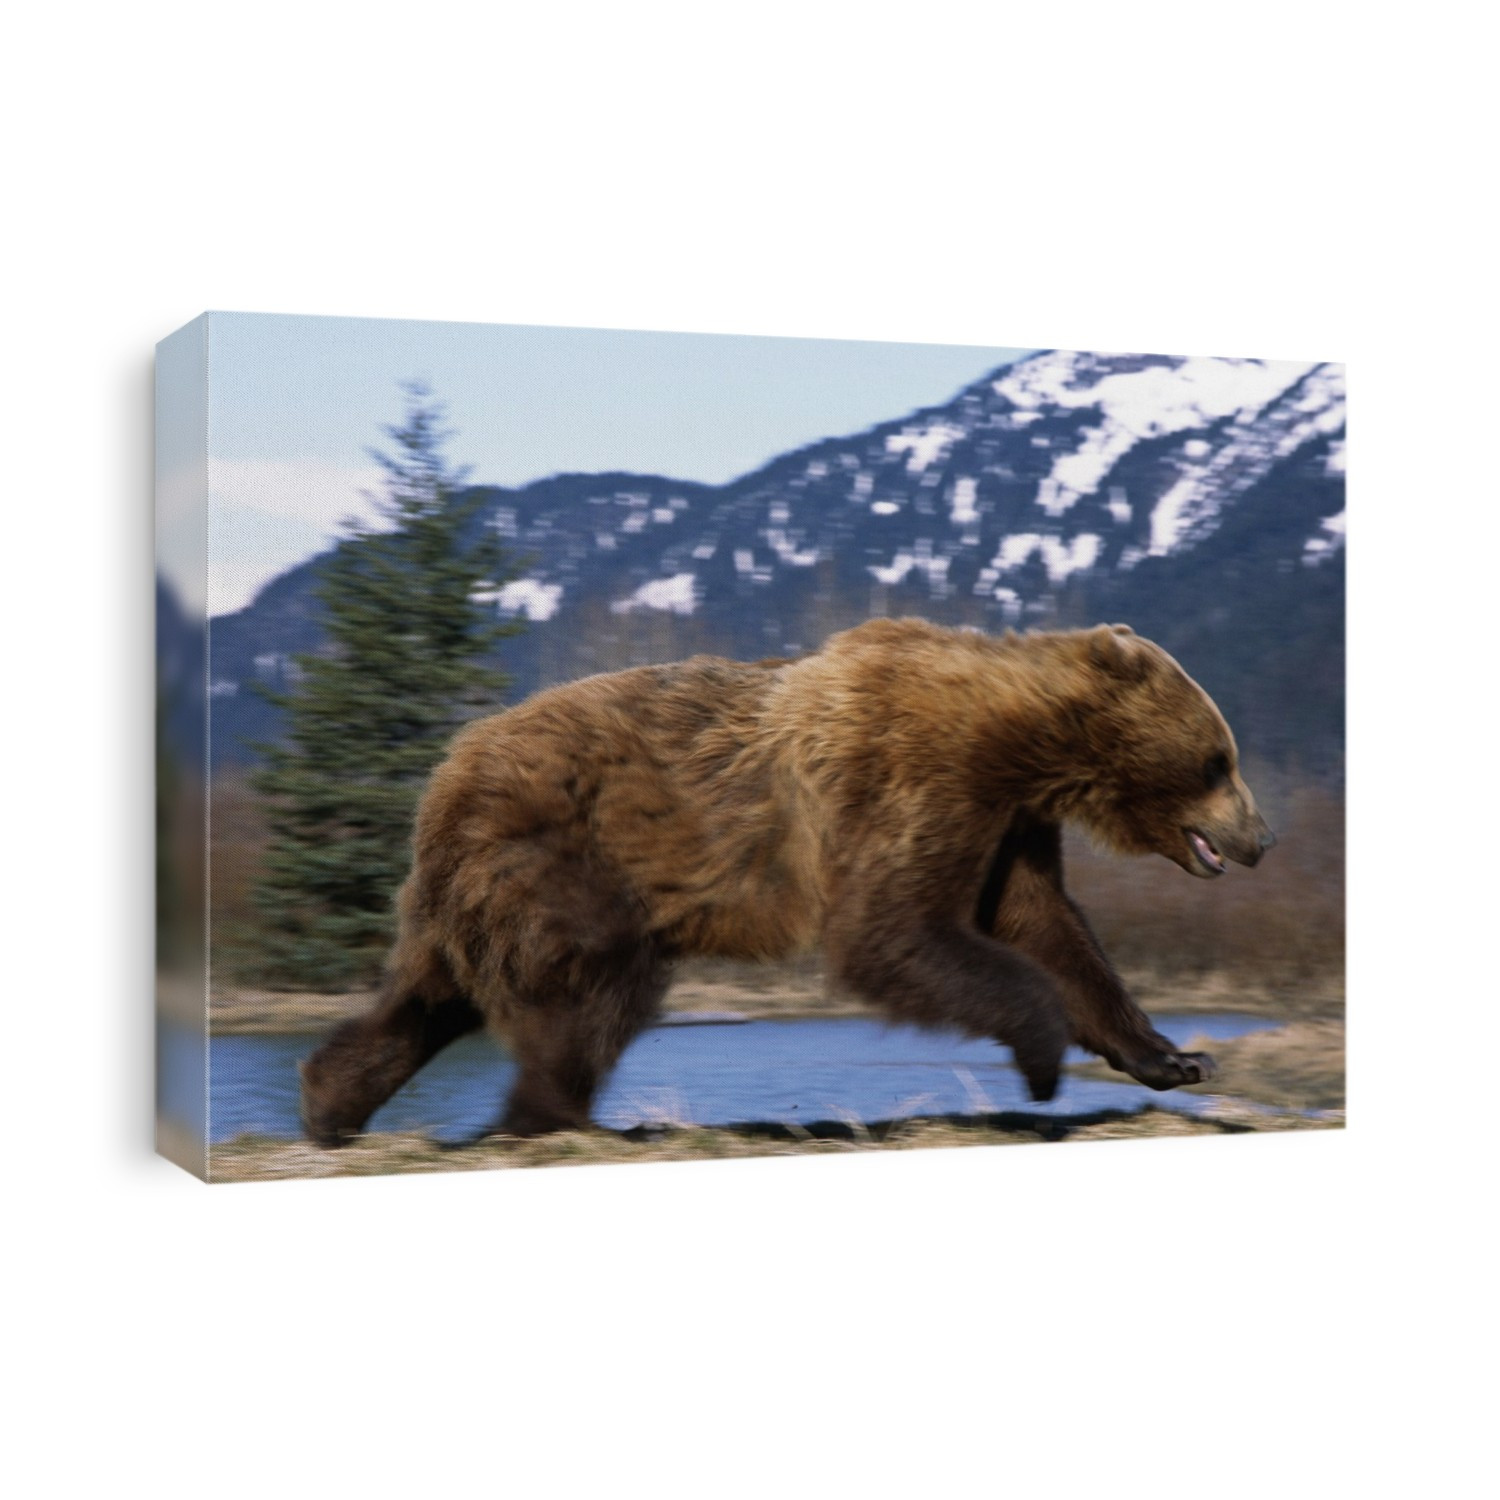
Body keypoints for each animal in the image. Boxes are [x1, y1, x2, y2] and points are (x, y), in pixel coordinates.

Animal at [299, 618, 1275, 1144]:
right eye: (1219, 758)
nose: (1262, 837)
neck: (1018, 742)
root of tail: (447, 770)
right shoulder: (909, 776)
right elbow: (893, 931)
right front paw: (1039, 1065)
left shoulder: (1006, 822)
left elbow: (1049, 929)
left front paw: (1172, 1056)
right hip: (563, 857)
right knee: (593, 990)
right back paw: (552, 1113)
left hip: (474, 897)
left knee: (425, 1001)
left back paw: (328, 1100)